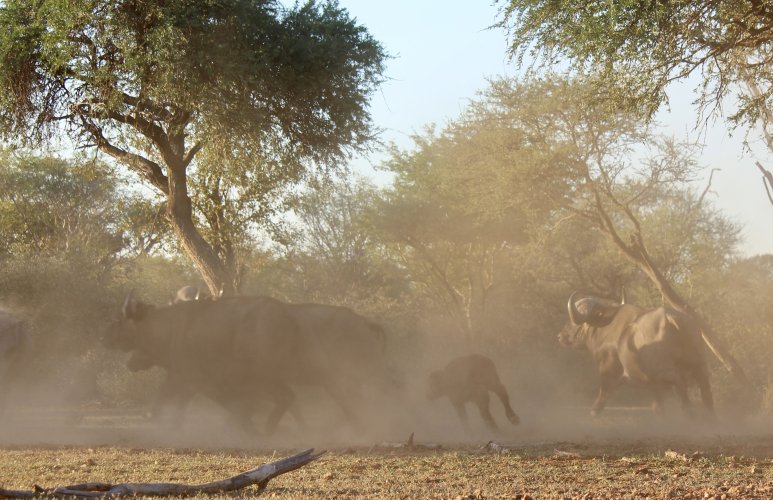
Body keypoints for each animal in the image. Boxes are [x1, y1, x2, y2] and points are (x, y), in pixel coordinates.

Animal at [556, 292, 716, 418]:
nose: (560, 335)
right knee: (706, 396)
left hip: (666, 373)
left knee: (682, 390)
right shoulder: (655, 387)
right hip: (701, 367)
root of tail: (671, 318)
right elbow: (657, 407)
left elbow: (602, 396)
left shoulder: (608, 373)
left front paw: (594, 411)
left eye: (572, 322)